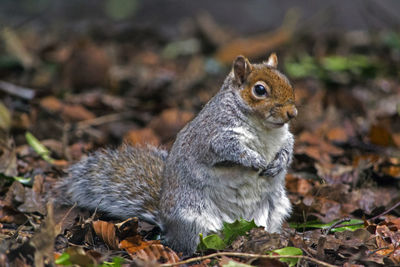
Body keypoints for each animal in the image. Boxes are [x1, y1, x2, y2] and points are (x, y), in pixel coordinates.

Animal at [52, 53, 296, 256]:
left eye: (288, 82)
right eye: (260, 90)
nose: (292, 113)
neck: (264, 127)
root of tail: (167, 224)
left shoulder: (285, 137)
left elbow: (288, 147)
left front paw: (278, 163)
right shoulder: (214, 137)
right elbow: (231, 149)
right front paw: (255, 160)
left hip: (275, 209)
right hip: (194, 219)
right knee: (190, 243)